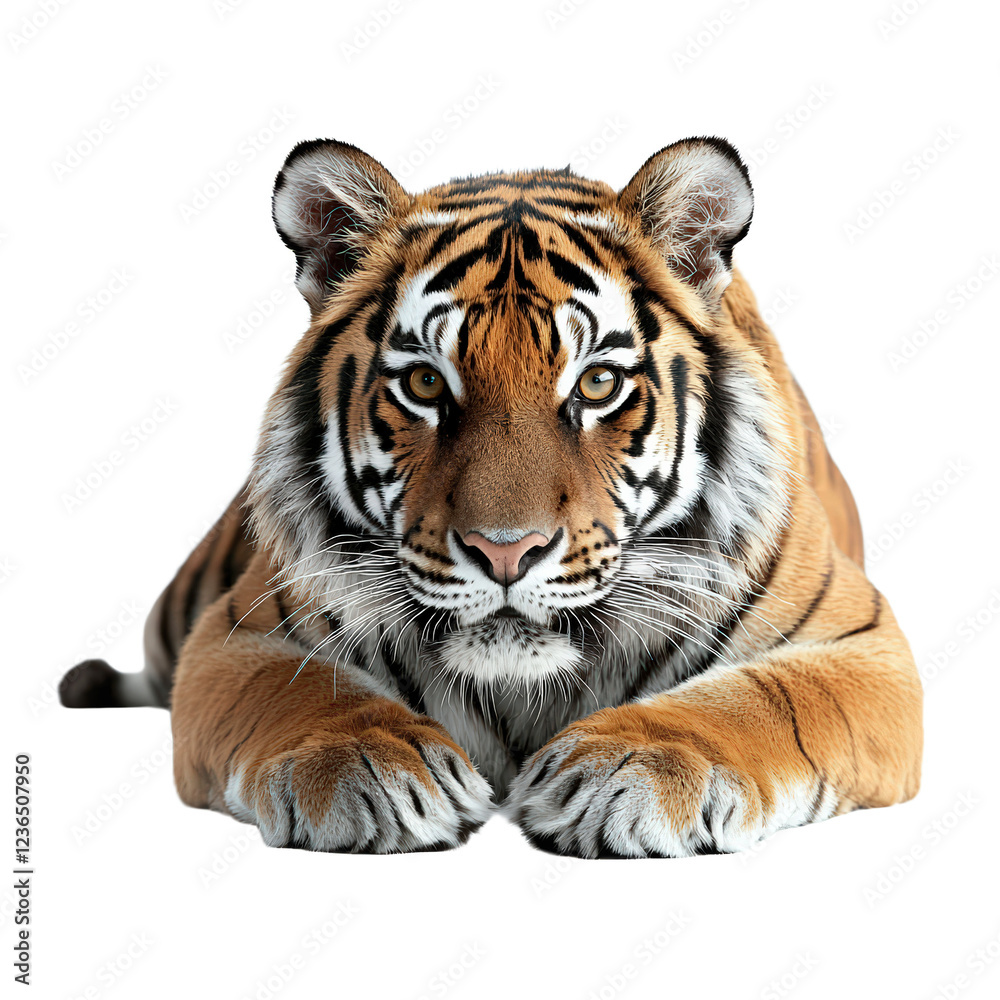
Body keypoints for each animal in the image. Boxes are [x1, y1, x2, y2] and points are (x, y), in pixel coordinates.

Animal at [60, 135, 923, 858]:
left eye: (597, 384)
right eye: (423, 384)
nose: (505, 552)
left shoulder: (862, 645)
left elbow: (764, 699)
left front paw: (638, 766)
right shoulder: (238, 636)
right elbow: (297, 692)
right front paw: (365, 764)